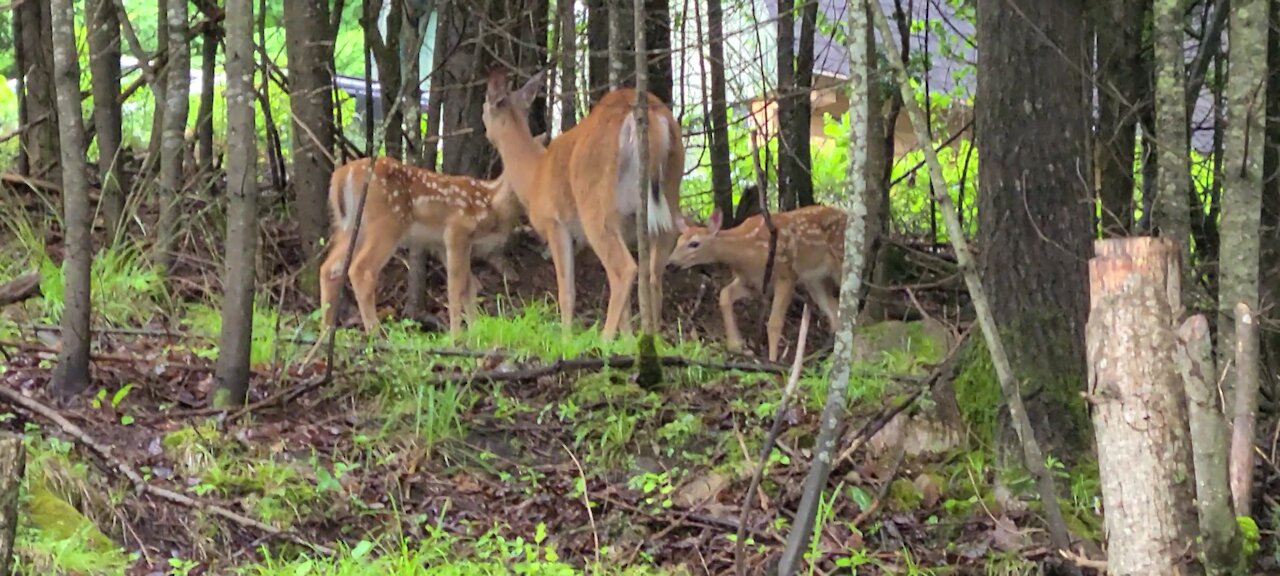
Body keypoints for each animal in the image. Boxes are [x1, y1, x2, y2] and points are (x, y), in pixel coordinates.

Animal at [317, 156, 522, 337]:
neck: (491, 202)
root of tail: (342, 174)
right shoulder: (457, 230)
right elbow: (456, 286)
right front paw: (457, 337)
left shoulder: (441, 244)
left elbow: (469, 285)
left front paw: (476, 332)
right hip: (386, 224)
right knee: (361, 269)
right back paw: (376, 335)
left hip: (349, 228)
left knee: (329, 268)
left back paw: (325, 334)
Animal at [481, 68, 686, 340]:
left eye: (484, 107)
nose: (485, 132)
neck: (535, 177)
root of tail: (651, 119)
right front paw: (627, 340)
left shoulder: (555, 223)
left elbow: (566, 290)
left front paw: (566, 338)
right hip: (668, 197)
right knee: (653, 274)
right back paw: (651, 338)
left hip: (595, 204)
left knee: (624, 269)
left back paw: (605, 340)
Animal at [665, 204, 844, 363]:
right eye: (678, 241)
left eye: (694, 244)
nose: (670, 264)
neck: (746, 251)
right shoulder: (751, 282)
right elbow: (724, 294)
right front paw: (737, 345)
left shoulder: (786, 274)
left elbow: (774, 323)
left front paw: (772, 360)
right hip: (814, 279)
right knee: (834, 311)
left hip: (839, 262)